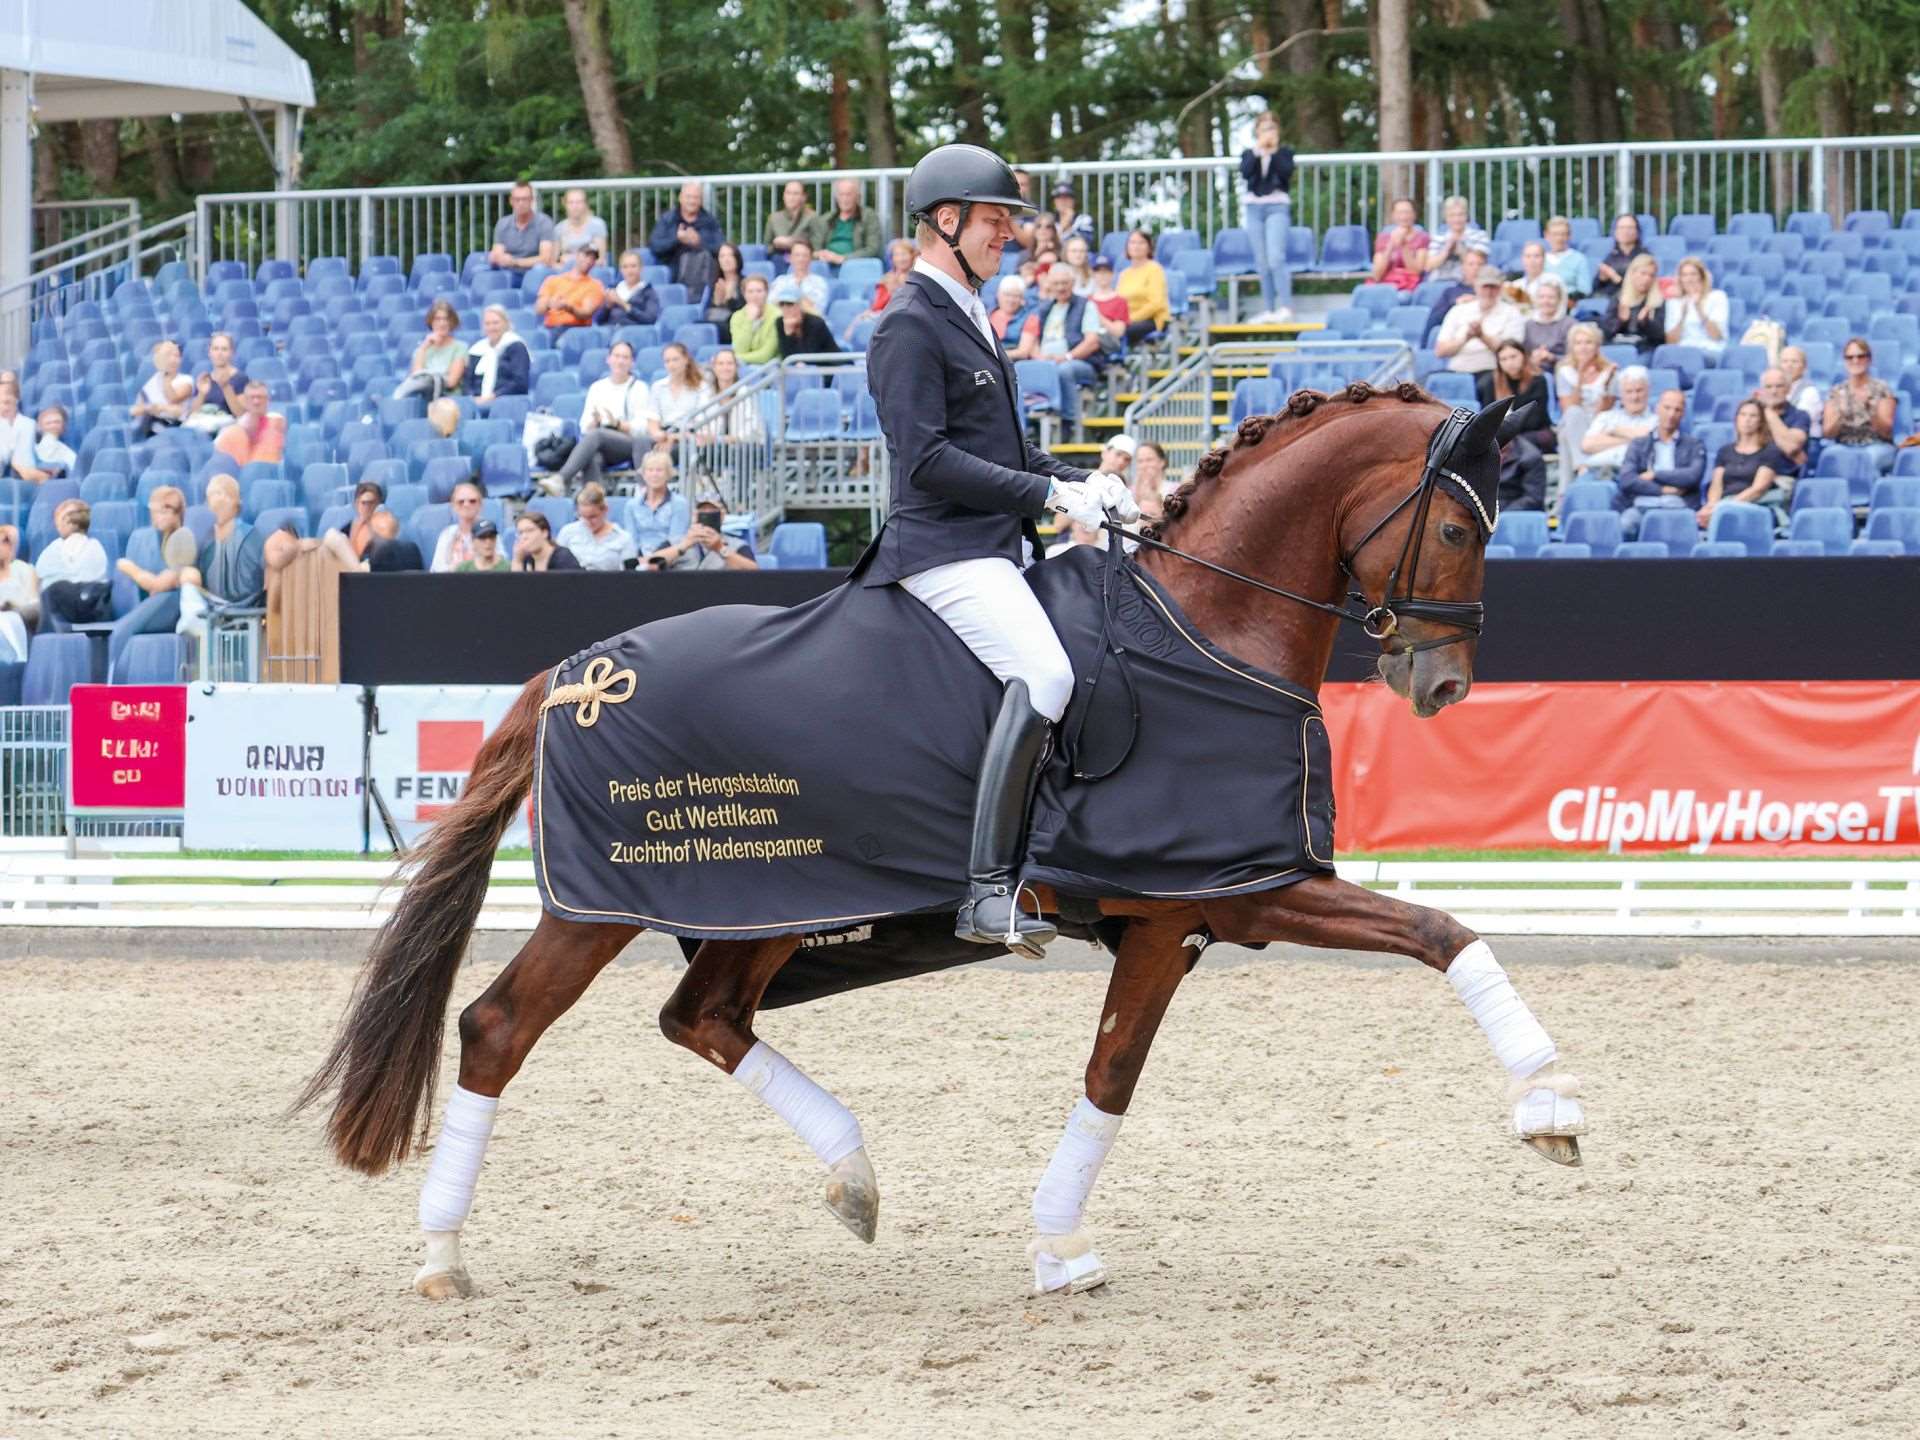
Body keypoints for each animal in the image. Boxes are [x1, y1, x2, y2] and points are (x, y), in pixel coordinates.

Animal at [294, 381, 1587, 1301]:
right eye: (1460, 526)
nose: (1442, 685)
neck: (1208, 630)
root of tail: (576, 673)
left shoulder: (1176, 919)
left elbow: (1113, 1075)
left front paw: (1057, 1250)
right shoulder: (1241, 888)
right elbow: (1442, 931)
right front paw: (1550, 1108)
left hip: (770, 904)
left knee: (701, 1017)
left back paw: (853, 1178)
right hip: (611, 904)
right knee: (500, 1027)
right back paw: (442, 1256)